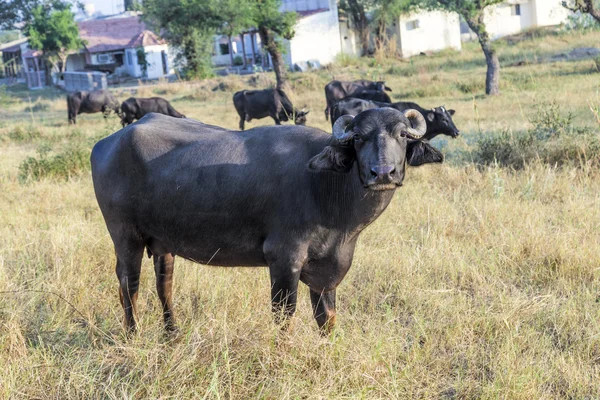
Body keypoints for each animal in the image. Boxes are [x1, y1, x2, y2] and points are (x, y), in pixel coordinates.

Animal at [91, 108, 442, 332]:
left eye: (401, 135)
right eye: (358, 138)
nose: (382, 173)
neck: (326, 188)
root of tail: (107, 142)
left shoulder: (327, 267)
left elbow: (327, 318)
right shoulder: (284, 259)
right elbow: (284, 316)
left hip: (163, 243)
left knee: (164, 285)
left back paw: (172, 333)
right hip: (125, 237)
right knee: (129, 286)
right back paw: (134, 335)